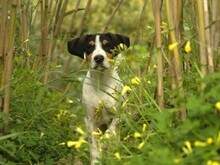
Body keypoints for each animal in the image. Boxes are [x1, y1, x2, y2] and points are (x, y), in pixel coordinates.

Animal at [67, 32, 129, 165]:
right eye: (89, 46)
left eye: (107, 45)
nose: (99, 58)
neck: (101, 83)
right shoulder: (90, 120)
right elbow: (94, 146)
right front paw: (96, 160)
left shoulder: (118, 115)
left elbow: (110, 132)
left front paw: (106, 143)